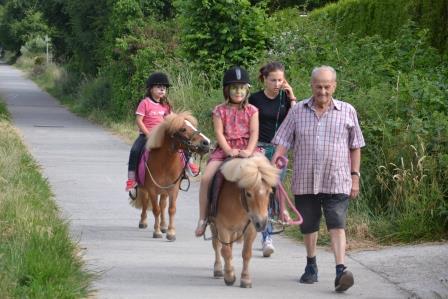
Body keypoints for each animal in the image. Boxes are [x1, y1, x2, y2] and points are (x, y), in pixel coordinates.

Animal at [130, 112, 210, 241]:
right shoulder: (152, 190)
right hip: (145, 189)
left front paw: (170, 232)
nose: (206, 143)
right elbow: (155, 209)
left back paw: (163, 226)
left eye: (193, 125)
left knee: (163, 205)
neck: (164, 163)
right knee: (145, 202)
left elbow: (171, 209)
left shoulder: (173, 189)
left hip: (164, 190)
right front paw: (157, 232)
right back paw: (143, 222)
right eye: (183, 129)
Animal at [208, 155, 278, 288]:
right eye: (248, 193)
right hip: (214, 227)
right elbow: (225, 251)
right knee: (217, 245)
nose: (262, 223)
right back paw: (219, 269)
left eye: (269, 192)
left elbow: (246, 253)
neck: (238, 203)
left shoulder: (251, 229)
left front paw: (245, 279)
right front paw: (229, 277)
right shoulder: (223, 228)